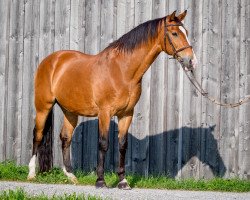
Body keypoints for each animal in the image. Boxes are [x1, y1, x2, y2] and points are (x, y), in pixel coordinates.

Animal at [26, 10, 196, 189]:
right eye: (175, 33)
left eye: (186, 32)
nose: (191, 61)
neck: (122, 70)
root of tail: (52, 59)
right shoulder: (105, 113)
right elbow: (103, 143)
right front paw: (100, 181)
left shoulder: (127, 114)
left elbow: (122, 145)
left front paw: (122, 181)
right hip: (43, 107)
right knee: (37, 135)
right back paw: (31, 174)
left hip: (70, 111)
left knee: (66, 138)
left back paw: (71, 176)